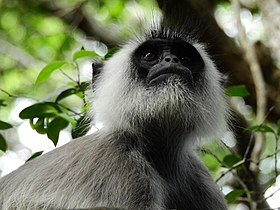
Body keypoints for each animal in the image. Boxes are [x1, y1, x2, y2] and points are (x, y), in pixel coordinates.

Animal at [0, 23, 228, 210]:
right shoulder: (119, 165)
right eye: (150, 56)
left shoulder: (199, 178)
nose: (171, 60)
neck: (158, 153)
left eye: (185, 58)